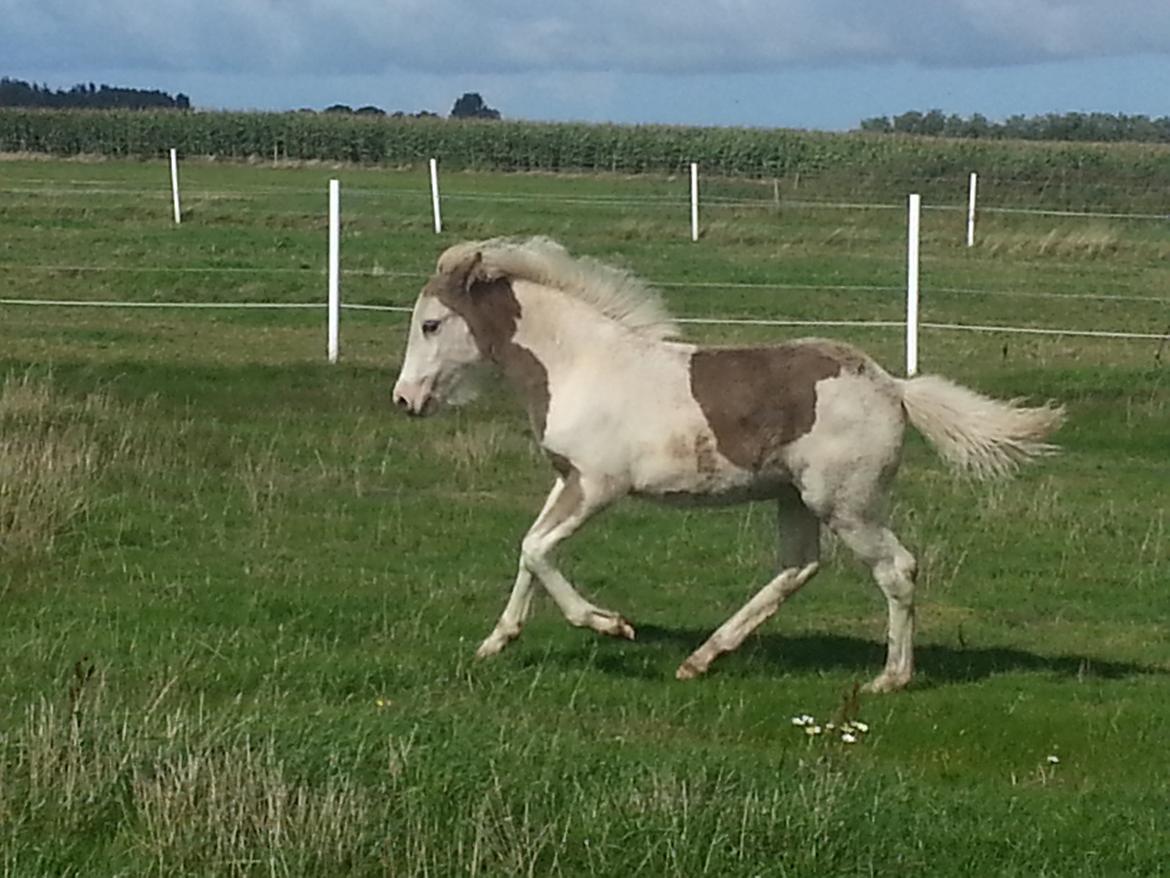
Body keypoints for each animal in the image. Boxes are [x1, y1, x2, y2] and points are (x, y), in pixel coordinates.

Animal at [390, 237, 1062, 693]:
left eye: (431, 324)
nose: (404, 400)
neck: (582, 365)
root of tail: (892, 386)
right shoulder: (568, 479)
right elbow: (530, 548)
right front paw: (495, 642)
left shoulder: (598, 485)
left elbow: (537, 550)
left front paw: (610, 625)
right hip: (794, 498)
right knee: (797, 567)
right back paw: (702, 658)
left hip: (846, 502)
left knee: (896, 569)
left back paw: (888, 679)